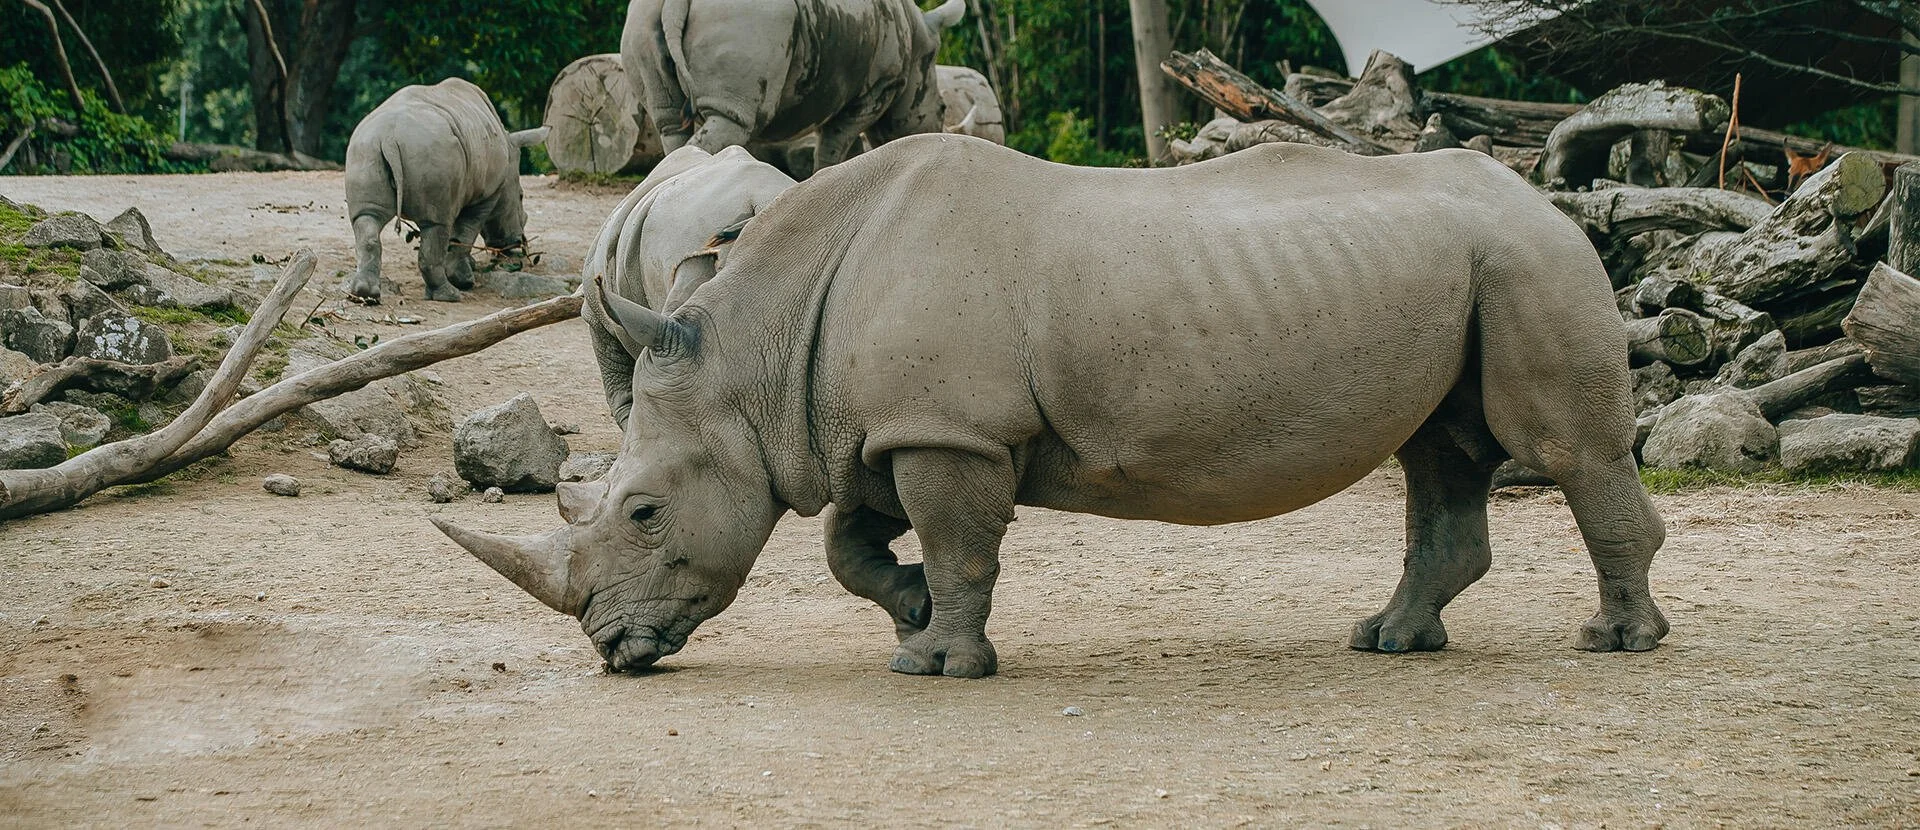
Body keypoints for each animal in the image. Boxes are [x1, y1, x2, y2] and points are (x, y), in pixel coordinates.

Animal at [345, 78, 549, 303]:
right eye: (521, 196)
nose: (516, 245)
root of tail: (389, 138)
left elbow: (457, 234)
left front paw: (469, 267)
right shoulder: (486, 194)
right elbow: (465, 232)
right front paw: (465, 280)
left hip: (366, 149)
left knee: (367, 217)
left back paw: (365, 295)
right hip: (432, 151)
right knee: (437, 225)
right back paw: (449, 295)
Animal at [435, 135, 1671, 678]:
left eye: (643, 512)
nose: (612, 649)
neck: (757, 352)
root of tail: (1543, 192)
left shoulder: (953, 433)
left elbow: (960, 547)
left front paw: (940, 663)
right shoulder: (892, 427)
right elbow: (849, 544)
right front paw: (909, 614)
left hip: (1529, 260)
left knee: (1560, 448)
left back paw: (1617, 643)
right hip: (1471, 267)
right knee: (1439, 454)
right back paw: (1392, 641)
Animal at [620, 0, 966, 173]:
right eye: (942, 109)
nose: (935, 134)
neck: (919, 37)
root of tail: (675, 3)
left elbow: (846, 147)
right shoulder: (879, 88)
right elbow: (835, 143)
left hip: (640, 20)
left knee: (668, 124)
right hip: (750, 20)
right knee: (732, 121)